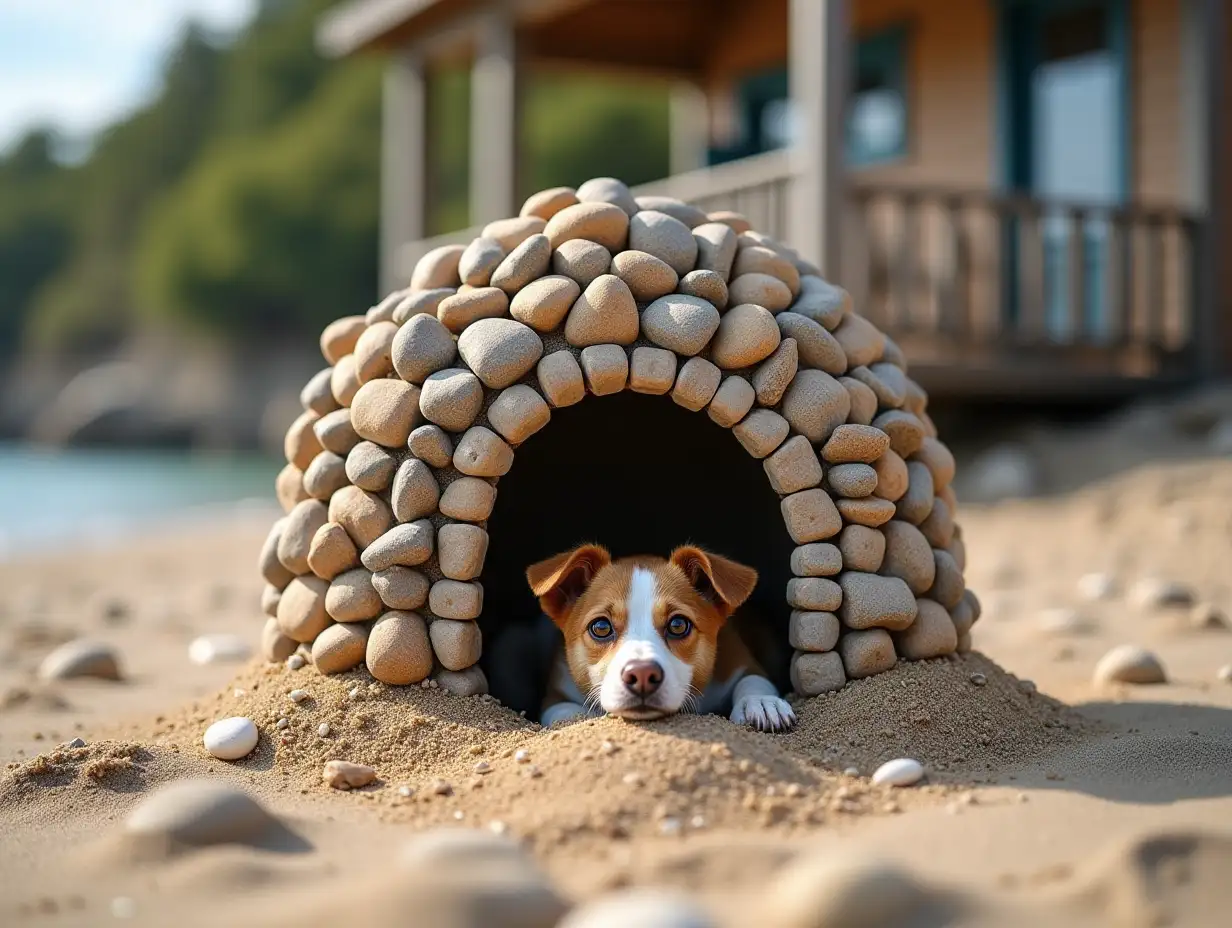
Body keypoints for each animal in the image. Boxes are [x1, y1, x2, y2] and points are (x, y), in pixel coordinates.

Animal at [522, 542, 793, 729]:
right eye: (600, 627)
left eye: (678, 625)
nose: (642, 674)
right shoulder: (556, 694)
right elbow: (566, 711)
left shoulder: (739, 660)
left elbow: (754, 680)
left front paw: (761, 703)